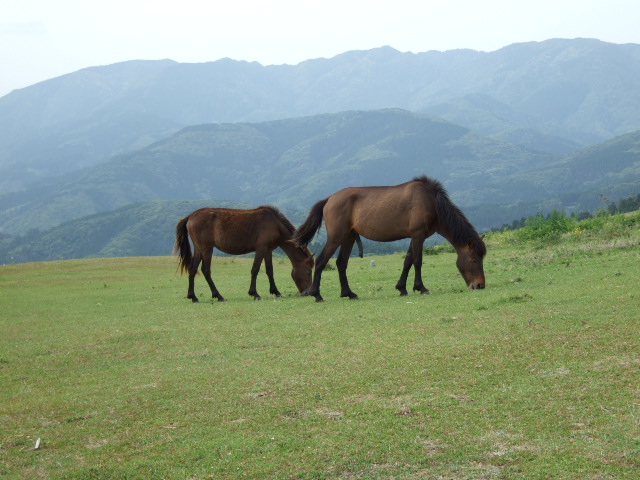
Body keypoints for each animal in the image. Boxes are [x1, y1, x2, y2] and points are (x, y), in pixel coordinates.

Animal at [175, 205, 316, 300]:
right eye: (309, 271)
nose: (308, 292)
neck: (275, 224)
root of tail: (190, 216)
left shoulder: (268, 251)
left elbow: (270, 271)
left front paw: (276, 292)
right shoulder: (261, 249)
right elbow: (255, 270)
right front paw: (255, 293)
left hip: (199, 248)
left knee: (192, 269)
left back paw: (193, 296)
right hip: (207, 248)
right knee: (206, 270)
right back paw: (218, 296)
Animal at [292, 177, 488, 300]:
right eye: (474, 260)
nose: (480, 285)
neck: (432, 202)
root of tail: (329, 199)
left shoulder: (414, 237)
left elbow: (407, 261)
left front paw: (402, 288)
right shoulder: (418, 236)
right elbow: (417, 261)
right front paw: (421, 287)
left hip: (348, 237)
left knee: (341, 263)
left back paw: (349, 293)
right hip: (336, 237)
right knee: (322, 261)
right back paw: (317, 294)